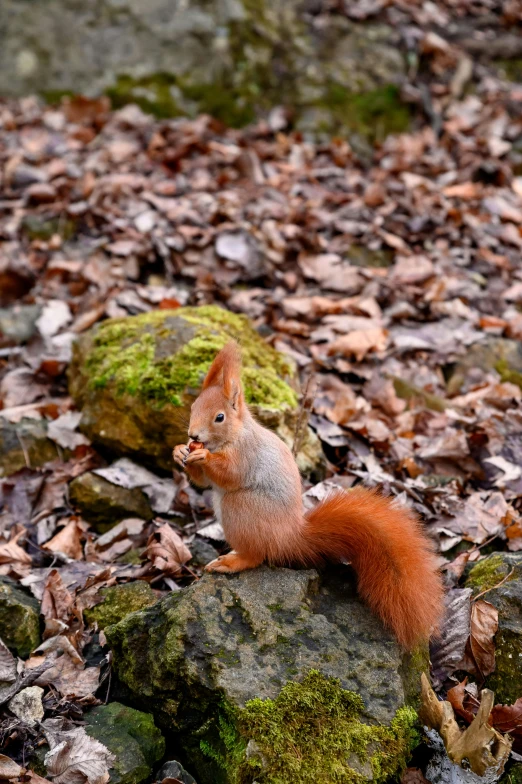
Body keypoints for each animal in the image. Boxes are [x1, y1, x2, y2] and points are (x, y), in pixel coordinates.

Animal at [173, 340, 440, 648]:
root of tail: (289, 537)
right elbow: (203, 481)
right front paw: (179, 452)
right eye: (193, 406)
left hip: (240, 507)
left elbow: (229, 473)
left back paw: (232, 561)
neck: (234, 436)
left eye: (220, 417)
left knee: (256, 556)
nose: (193, 435)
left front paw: (202, 456)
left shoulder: (246, 456)